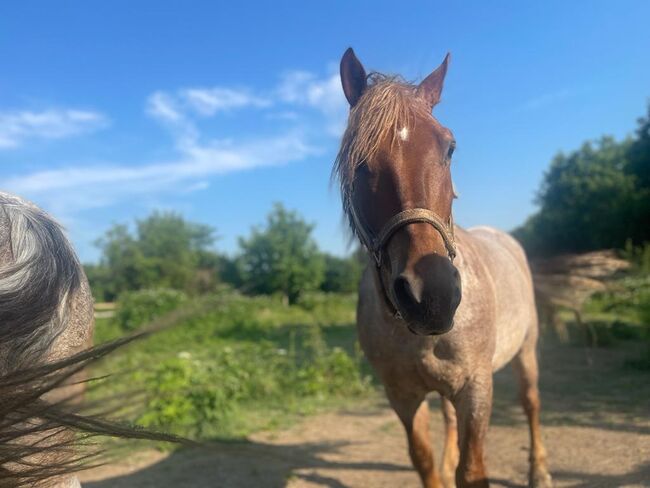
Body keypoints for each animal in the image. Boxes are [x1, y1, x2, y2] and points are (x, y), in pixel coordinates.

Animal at [334, 49, 552, 488]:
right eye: (359, 161)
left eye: (449, 147)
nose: (430, 296)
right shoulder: (403, 396)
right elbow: (425, 462)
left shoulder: (475, 388)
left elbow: (473, 471)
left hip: (526, 349)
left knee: (531, 403)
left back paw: (539, 470)